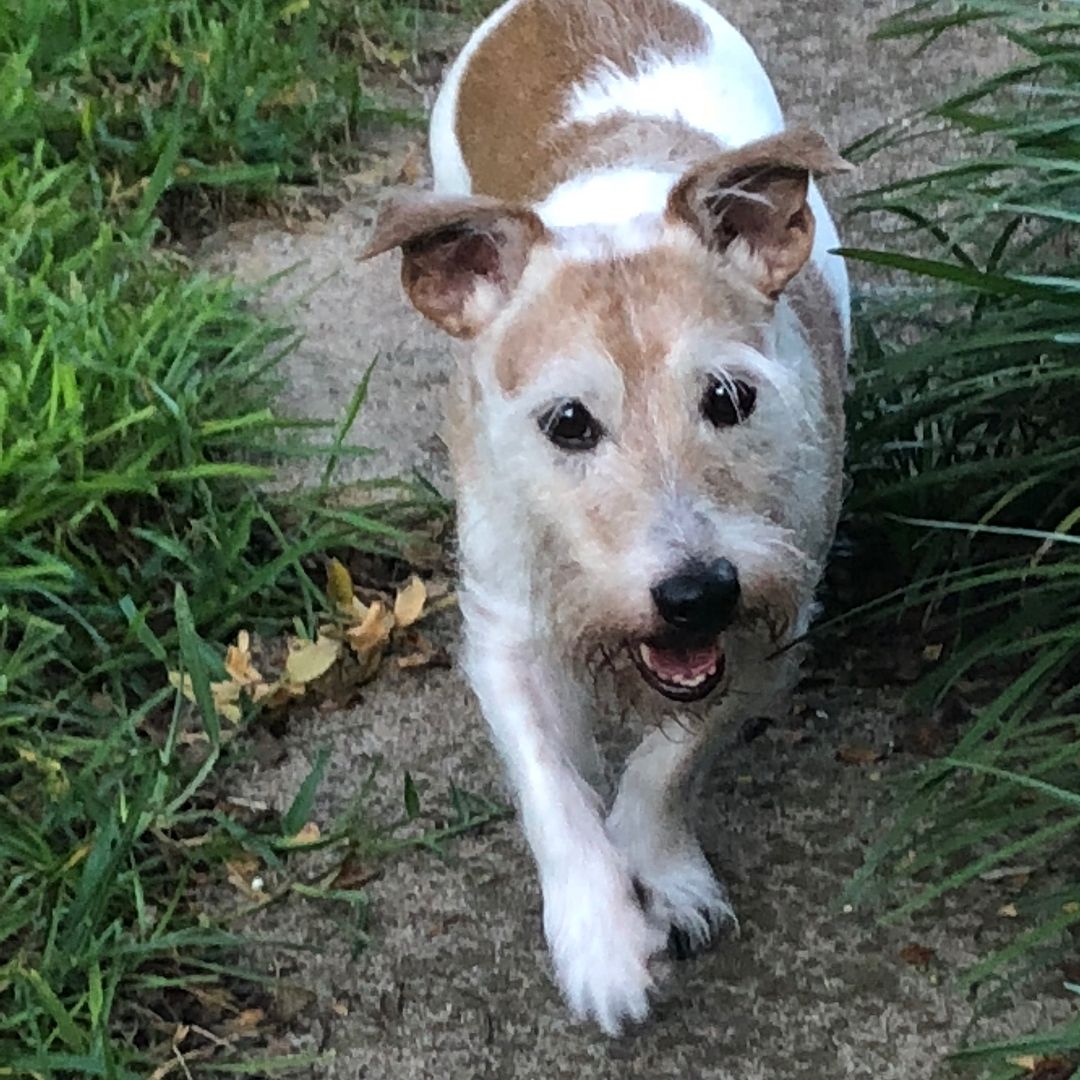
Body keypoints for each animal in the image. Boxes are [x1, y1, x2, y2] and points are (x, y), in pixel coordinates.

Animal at [362, 0, 851, 1032]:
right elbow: (552, 786)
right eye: (568, 422)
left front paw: (658, 871)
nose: (696, 592)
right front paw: (600, 937)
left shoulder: (773, 617)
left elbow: (672, 759)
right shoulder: (505, 627)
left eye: (730, 398)